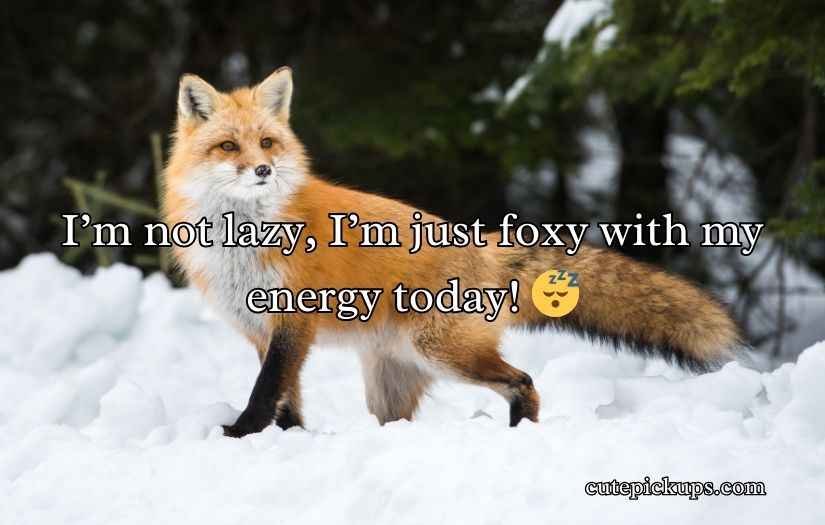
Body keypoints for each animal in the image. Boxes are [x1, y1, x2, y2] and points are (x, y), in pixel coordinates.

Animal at [163, 67, 740, 438]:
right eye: (229, 147)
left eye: (266, 143)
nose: (263, 170)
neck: (242, 238)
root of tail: (479, 244)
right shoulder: (261, 330)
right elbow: (286, 399)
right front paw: (286, 439)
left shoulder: (292, 323)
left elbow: (266, 392)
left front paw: (240, 434)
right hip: (391, 381)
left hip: (443, 352)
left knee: (525, 382)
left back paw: (519, 436)